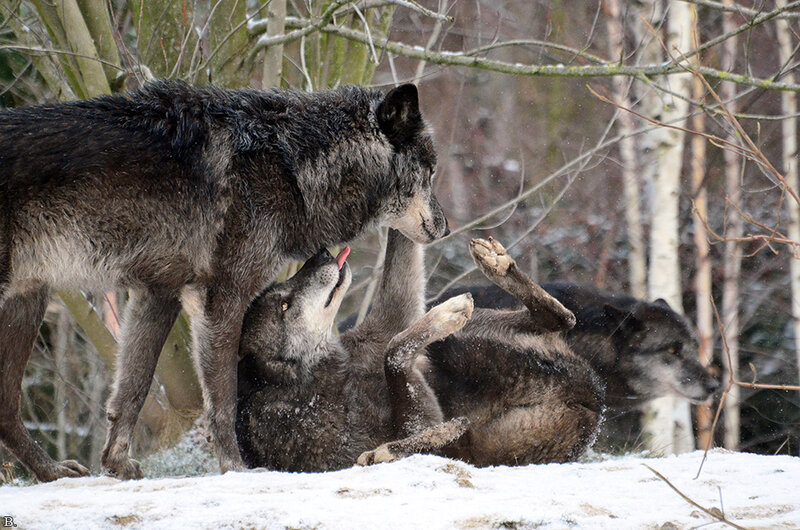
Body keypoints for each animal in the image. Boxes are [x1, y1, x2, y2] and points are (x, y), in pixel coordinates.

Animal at [0, 80, 447, 482]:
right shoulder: (221, 297)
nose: (444, 227)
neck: (291, 164)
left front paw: (115, 466)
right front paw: (236, 469)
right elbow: (223, 400)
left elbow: (132, 392)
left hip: (28, 300)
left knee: (6, 408)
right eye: (429, 172)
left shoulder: (157, 295)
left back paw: (52, 472)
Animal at [236, 231, 605, 470]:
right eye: (284, 305)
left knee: (563, 318)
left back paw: (498, 266)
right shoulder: (414, 415)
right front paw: (442, 317)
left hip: (476, 331)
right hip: (486, 445)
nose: (322, 253)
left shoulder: (397, 317)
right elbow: (395, 355)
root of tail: (594, 398)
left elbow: (395, 335)